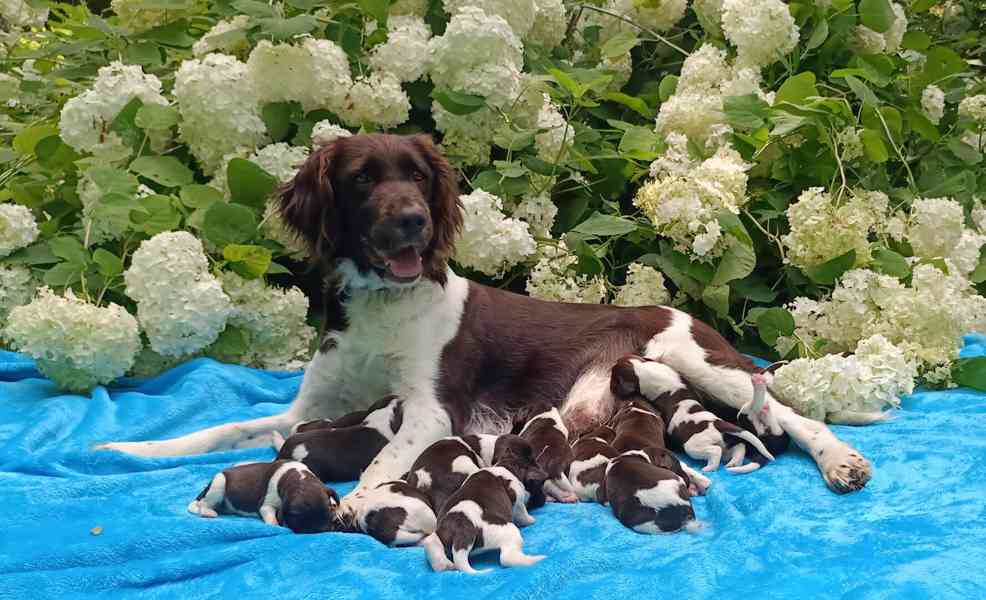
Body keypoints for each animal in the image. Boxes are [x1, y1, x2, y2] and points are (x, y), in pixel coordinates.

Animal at [187, 460, 338, 536]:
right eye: (297, 516)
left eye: (328, 512)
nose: (319, 530)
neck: (297, 477)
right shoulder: (266, 505)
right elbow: (271, 517)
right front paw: (276, 523)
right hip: (219, 483)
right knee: (202, 504)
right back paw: (208, 512)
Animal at [612, 356, 772, 474]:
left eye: (614, 380)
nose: (611, 389)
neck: (643, 368)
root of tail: (718, 423)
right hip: (726, 443)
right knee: (739, 447)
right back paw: (734, 463)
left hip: (694, 446)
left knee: (716, 451)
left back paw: (708, 468)